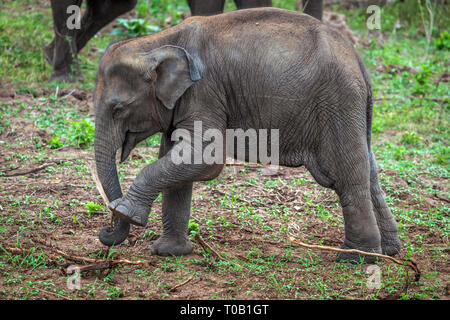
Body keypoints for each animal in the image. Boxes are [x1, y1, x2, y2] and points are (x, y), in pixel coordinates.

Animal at [94, 8, 400, 262]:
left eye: (118, 109)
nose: (105, 232)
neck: (156, 42)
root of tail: (359, 61)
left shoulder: (204, 93)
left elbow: (206, 159)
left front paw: (124, 211)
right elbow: (176, 159)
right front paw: (168, 252)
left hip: (337, 103)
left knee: (347, 176)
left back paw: (356, 258)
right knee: (369, 172)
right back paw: (388, 252)